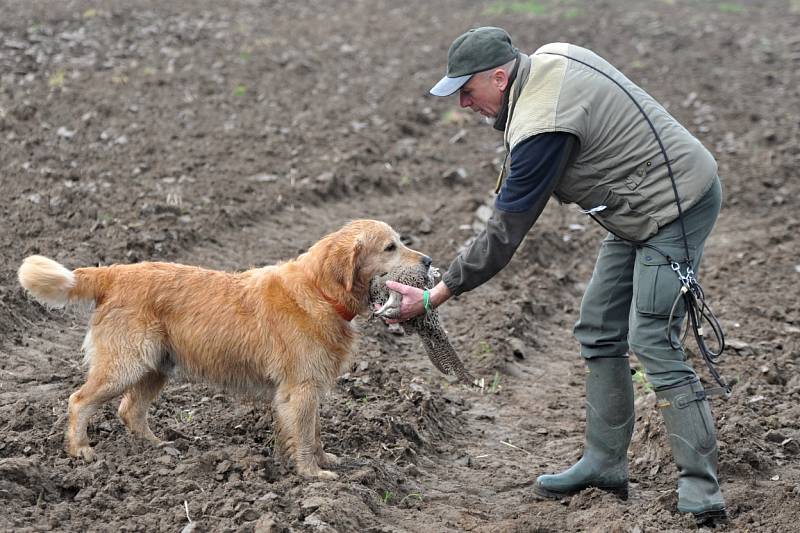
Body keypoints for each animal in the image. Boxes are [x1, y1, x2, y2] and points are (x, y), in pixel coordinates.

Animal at [17, 218, 432, 476]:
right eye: (390, 247)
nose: (428, 260)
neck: (319, 291)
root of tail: (114, 271)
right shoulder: (300, 389)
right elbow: (304, 434)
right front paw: (313, 474)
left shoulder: (309, 389)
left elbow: (314, 431)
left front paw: (324, 459)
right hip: (125, 365)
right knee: (79, 401)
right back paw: (80, 450)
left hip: (156, 366)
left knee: (129, 410)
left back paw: (158, 448)